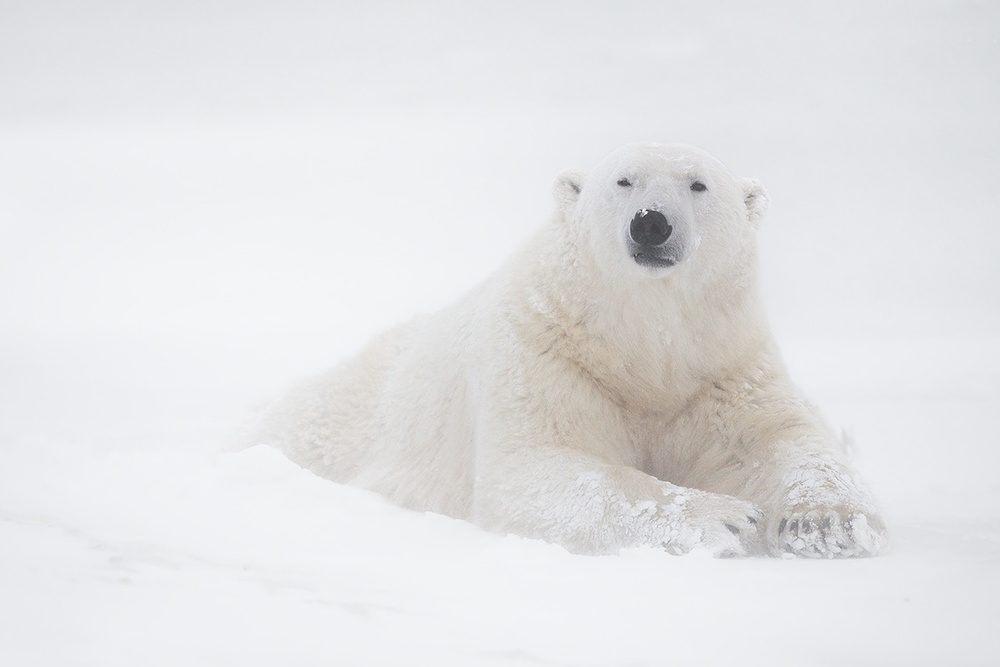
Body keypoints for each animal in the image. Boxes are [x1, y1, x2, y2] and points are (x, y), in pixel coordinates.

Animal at [254, 145, 888, 560]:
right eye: (624, 182)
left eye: (698, 184)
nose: (651, 224)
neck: (642, 349)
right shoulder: (546, 352)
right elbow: (539, 469)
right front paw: (725, 518)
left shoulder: (721, 366)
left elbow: (775, 438)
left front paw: (825, 524)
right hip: (337, 424)